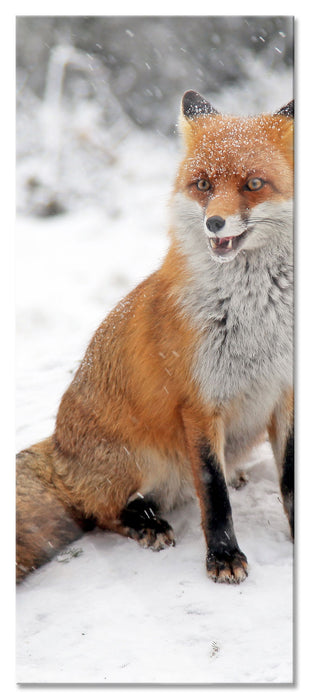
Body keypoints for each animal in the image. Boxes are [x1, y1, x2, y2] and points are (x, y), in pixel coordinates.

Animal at [16, 93, 294, 584]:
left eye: (254, 184)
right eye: (202, 184)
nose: (214, 223)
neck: (256, 320)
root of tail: (58, 451)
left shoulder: (286, 390)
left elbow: (291, 482)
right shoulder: (199, 404)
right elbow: (214, 495)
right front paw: (223, 557)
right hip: (141, 459)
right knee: (101, 511)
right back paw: (145, 522)